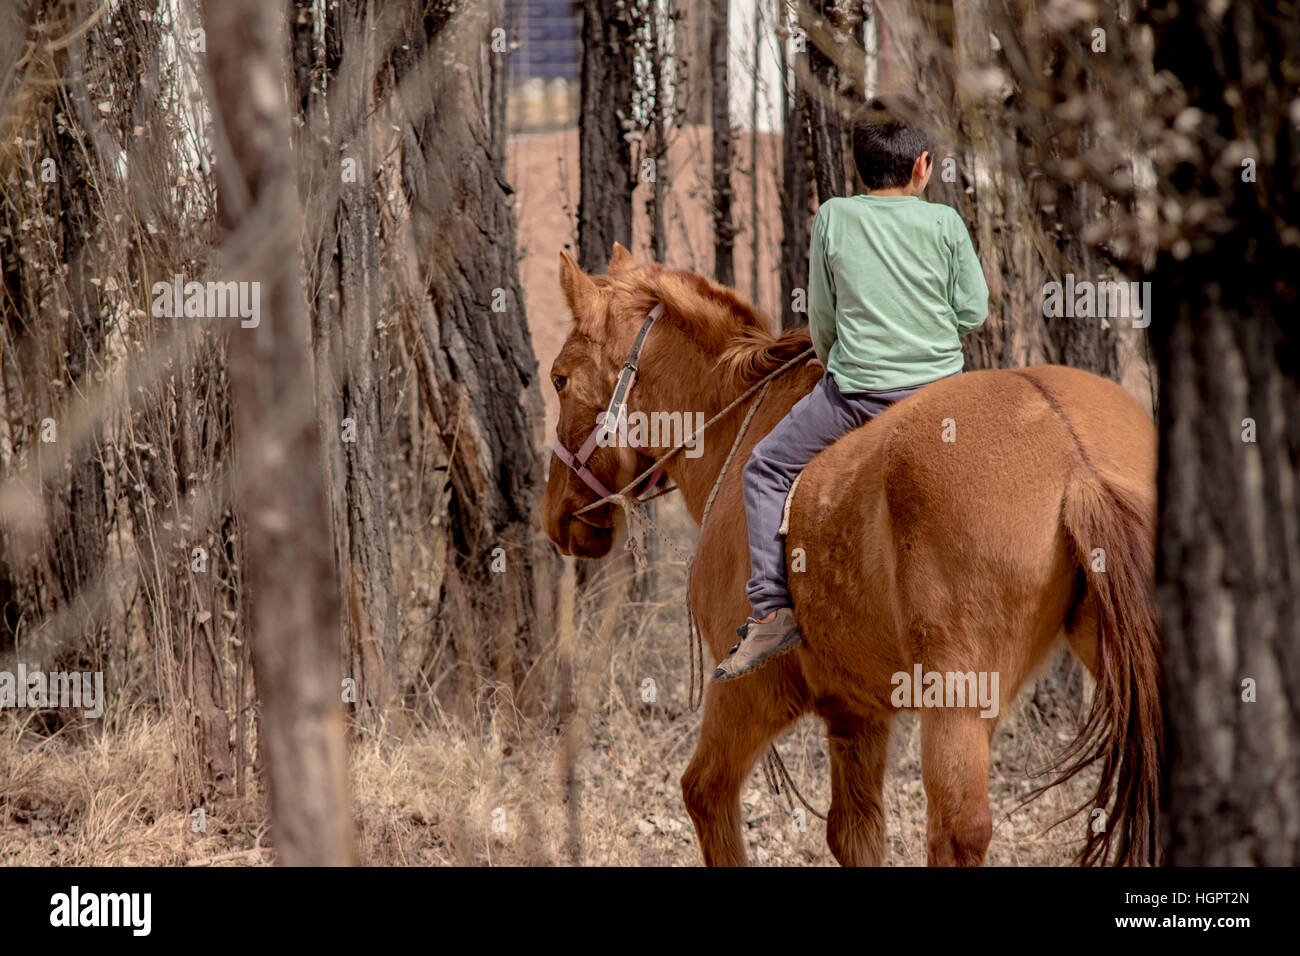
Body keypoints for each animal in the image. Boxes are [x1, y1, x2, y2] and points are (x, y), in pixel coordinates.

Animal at [533, 244, 1164, 868]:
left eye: (559, 379)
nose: (555, 516)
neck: (738, 428)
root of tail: (1075, 457)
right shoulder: (856, 714)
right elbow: (855, 832)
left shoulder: (747, 693)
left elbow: (705, 793)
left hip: (956, 696)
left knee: (956, 831)